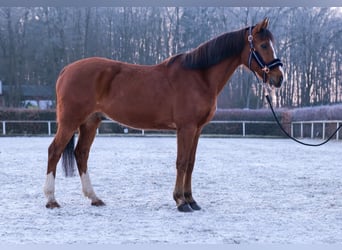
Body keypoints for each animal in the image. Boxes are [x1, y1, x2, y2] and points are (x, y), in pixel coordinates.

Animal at [43, 18, 284, 212]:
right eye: (263, 45)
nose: (279, 77)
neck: (200, 76)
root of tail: (66, 70)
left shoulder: (197, 129)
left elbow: (191, 163)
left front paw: (191, 200)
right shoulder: (186, 128)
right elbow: (182, 162)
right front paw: (181, 201)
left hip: (90, 122)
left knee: (81, 153)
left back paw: (94, 198)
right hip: (70, 121)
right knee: (54, 151)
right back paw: (51, 200)